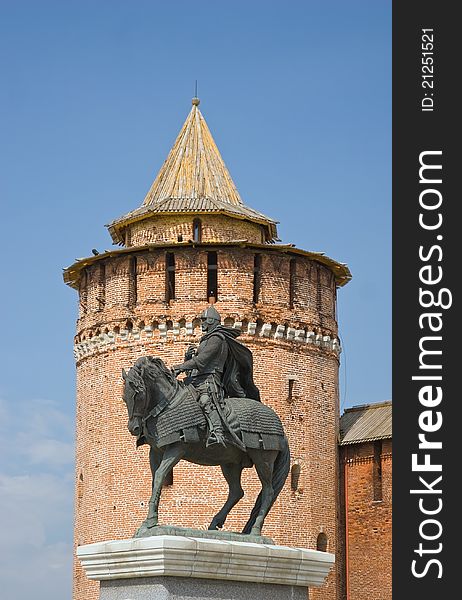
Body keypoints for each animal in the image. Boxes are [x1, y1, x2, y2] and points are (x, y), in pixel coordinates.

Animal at [121, 354, 290, 536]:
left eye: (138, 394)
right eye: (124, 397)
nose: (133, 428)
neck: (168, 403)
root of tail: (282, 430)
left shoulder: (177, 448)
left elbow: (160, 475)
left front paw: (151, 521)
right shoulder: (155, 451)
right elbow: (155, 481)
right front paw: (148, 522)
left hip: (263, 459)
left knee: (268, 491)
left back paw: (255, 530)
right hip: (230, 463)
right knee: (237, 491)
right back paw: (215, 523)